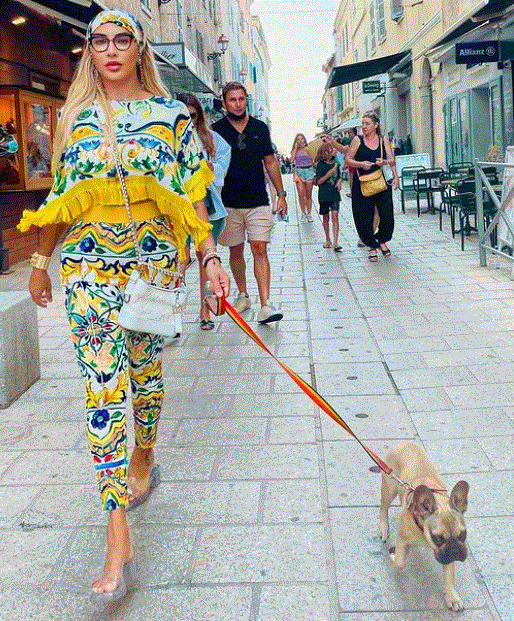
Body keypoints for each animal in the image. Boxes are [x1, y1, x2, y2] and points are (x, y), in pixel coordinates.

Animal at [379, 442, 470, 611]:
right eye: (438, 538)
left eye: (463, 534)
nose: (455, 550)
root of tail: (403, 443)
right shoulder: (402, 538)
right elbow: (400, 561)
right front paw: (396, 555)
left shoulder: (446, 555)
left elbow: (449, 575)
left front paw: (452, 596)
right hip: (390, 487)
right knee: (383, 506)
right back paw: (383, 528)